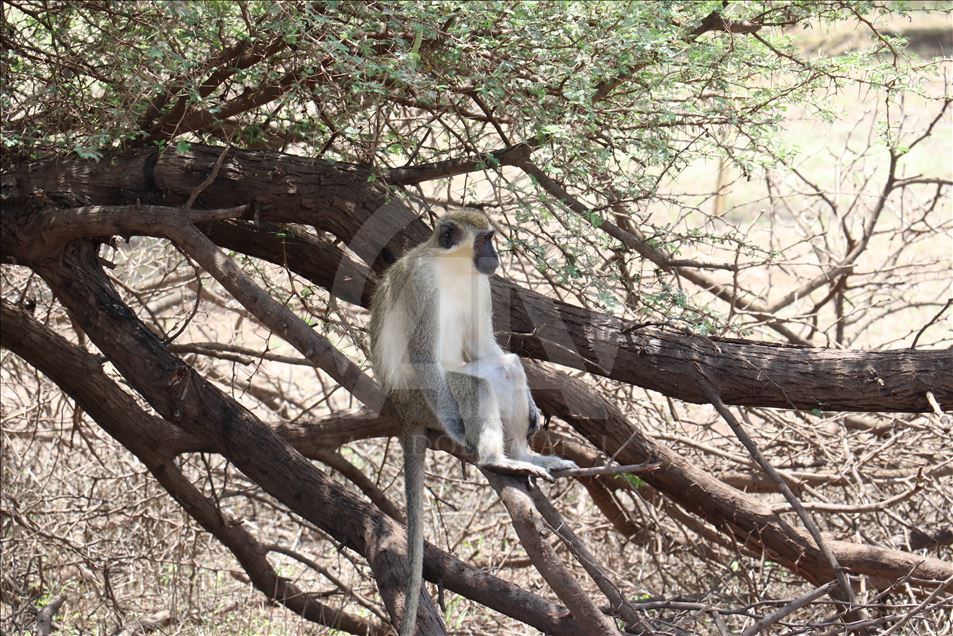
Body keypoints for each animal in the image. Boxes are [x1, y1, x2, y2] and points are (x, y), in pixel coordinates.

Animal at [370, 211, 580, 632]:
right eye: (484, 240)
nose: (495, 256)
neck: (451, 265)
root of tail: (400, 408)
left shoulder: (480, 284)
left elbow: (485, 347)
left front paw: (533, 409)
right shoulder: (422, 285)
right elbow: (422, 353)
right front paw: (457, 430)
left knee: (506, 366)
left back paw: (524, 456)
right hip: (423, 401)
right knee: (474, 385)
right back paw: (495, 459)